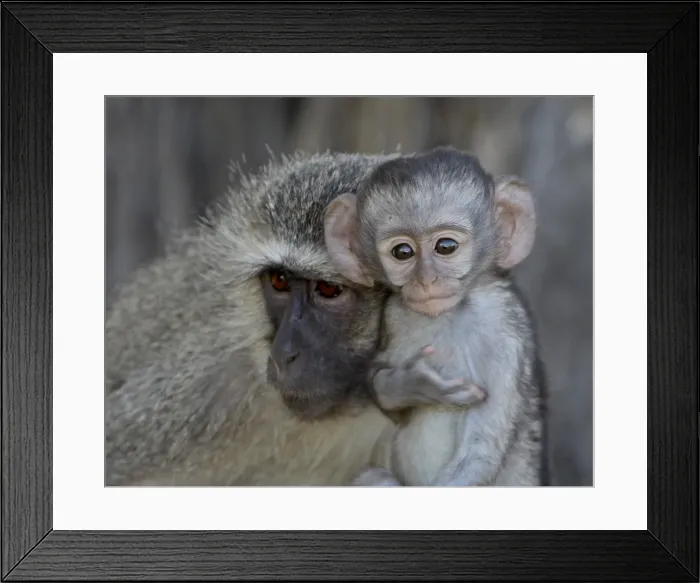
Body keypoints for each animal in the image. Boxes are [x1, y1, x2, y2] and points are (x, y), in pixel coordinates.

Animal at [323, 146, 545, 487]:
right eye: (402, 252)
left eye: (446, 247)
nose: (426, 280)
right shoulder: (393, 315)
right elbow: (375, 377)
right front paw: (414, 384)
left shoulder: (503, 329)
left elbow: (481, 453)